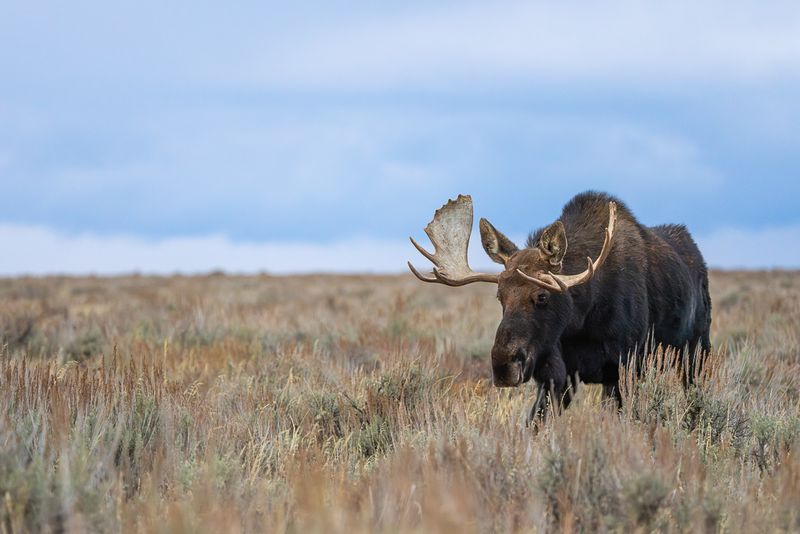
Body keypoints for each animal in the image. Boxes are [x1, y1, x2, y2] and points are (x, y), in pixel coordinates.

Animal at [408, 191, 711, 423]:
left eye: (542, 296)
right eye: (499, 296)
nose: (504, 364)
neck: (584, 319)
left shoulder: (625, 367)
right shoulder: (556, 377)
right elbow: (536, 423)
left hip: (696, 353)